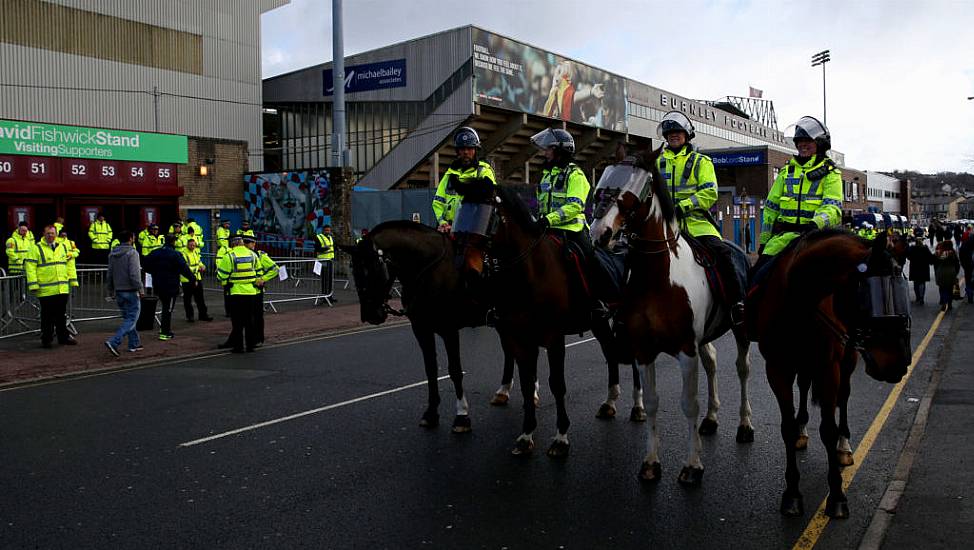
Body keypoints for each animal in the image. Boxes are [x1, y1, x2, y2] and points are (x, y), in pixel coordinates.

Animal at [588, 151, 756, 488]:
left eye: (632, 192)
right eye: (600, 186)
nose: (600, 234)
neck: (658, 278)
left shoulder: (685, 350)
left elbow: (688, 404)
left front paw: (692, 465)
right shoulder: (643, 351)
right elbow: (652, 402)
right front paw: (651, 463)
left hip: (740, 329)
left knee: (742, 369)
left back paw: (744, 425)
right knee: (712, 363)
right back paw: (711, 418)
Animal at [756, 230, 916, 520]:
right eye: (869, 294)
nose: (899, 362)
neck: (797, 302)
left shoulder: (828, 368)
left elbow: (829, 429)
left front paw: (837, 495)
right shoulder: (776, 369)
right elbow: (786, 427)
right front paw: (792, 493)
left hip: (847, 360)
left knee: (843, 397)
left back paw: (843, 447)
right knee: (804, 387)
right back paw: (802, 428)